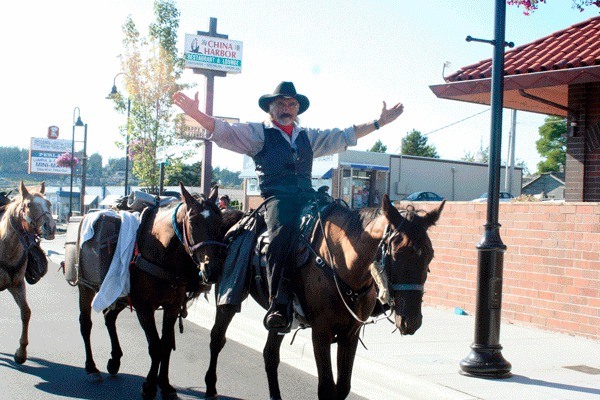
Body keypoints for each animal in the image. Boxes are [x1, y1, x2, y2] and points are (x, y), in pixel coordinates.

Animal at [0, 181, 55, 366]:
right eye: (29, 205)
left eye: (49, 203)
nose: (51, 227)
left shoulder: (17, 285)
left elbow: (26, 312)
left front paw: (21, 352)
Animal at [206, 194, 446, 396]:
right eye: (396, 252)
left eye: (431, 254)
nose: (411, 321)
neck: (342, 263)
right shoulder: (321, 332)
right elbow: (327, 388)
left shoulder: (350, 334)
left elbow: (343, 387)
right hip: (227, 297)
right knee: (217, 338)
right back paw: (210, 387)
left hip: (280, 318)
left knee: (270, 355)